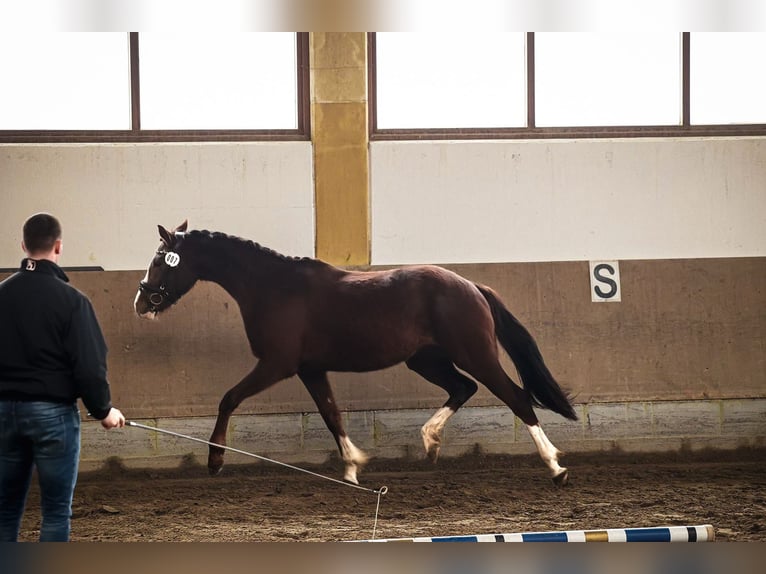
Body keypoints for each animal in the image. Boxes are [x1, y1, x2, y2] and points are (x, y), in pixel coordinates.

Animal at [135, 220, 580, 486]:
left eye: (160, 259)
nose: (141, 302)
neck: (273, 287)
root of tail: (471, 286)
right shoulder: (310, 369)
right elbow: (331, 414)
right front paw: (352, 467)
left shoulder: (276, 365)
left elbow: (228, 398)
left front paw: (215, 459)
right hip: (426, 359)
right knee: (463, 389)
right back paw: (430, 442)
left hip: (475, 354)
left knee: (516, 397)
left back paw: (555, 466)